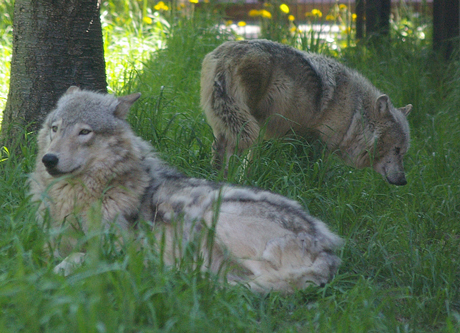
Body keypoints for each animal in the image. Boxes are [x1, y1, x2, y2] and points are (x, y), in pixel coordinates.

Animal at [28, 87, 342, 292]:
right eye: (55, 128)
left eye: (84, 132)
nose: (49, 160)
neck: (76, 198)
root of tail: (328, 247)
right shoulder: (48, 242)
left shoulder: (118, 248)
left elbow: (73, 259)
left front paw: (46, 280)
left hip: (217, 216)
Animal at [201, 39, 414, 184]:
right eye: (396, 149)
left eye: (403, 152)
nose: (404, 181)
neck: (356, 111)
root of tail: (227, 54)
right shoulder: (317, 145)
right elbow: (317, 175)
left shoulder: (267, 136)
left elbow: (250, 165)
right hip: (243, 127)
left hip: (230, 125)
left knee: (218, 150)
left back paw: (216, 179)